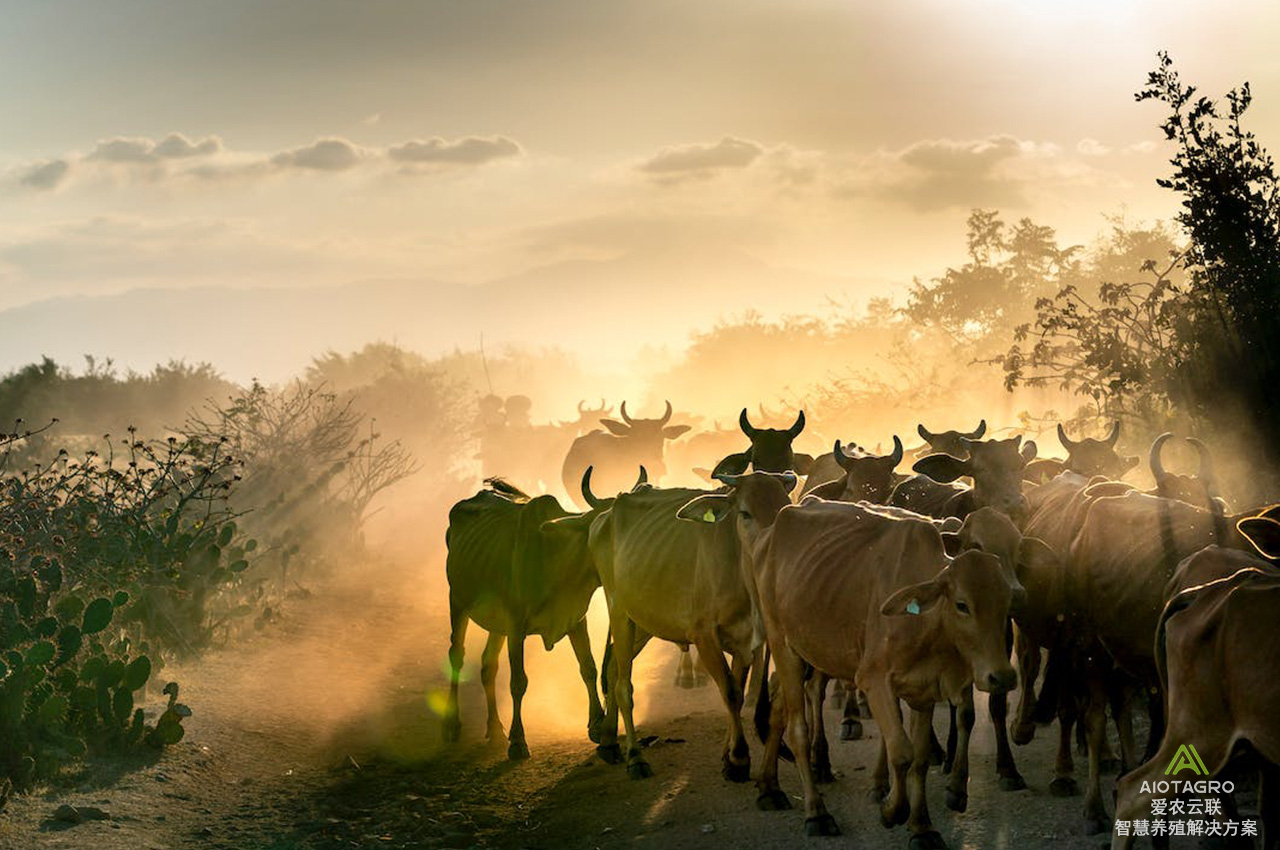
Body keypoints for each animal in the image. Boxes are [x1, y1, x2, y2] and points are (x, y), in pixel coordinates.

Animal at [445, 473, 645, 757]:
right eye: (604, 528)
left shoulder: (575, 619)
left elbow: (589, 668)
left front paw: (596, 724)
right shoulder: (516, 627)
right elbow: (518, 682)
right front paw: (518, 741)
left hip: (496, 624)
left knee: (488, 666)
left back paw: (495, 730)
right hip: (457, 602)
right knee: (457, 656)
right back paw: (452, 725)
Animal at [680, 478, 1018, 844]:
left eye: (1005, 602)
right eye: (962, 605)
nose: (1003, 677)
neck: (926, 622)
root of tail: (769, 534)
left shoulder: (924, 689)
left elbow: (920, 759)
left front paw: (922, 826)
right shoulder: (874, 679)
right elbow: (902, 752)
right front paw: (891, 809)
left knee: (778, 712)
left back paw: (769, 787)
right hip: (782, 645)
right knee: (797, 729)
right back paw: (816, 811)